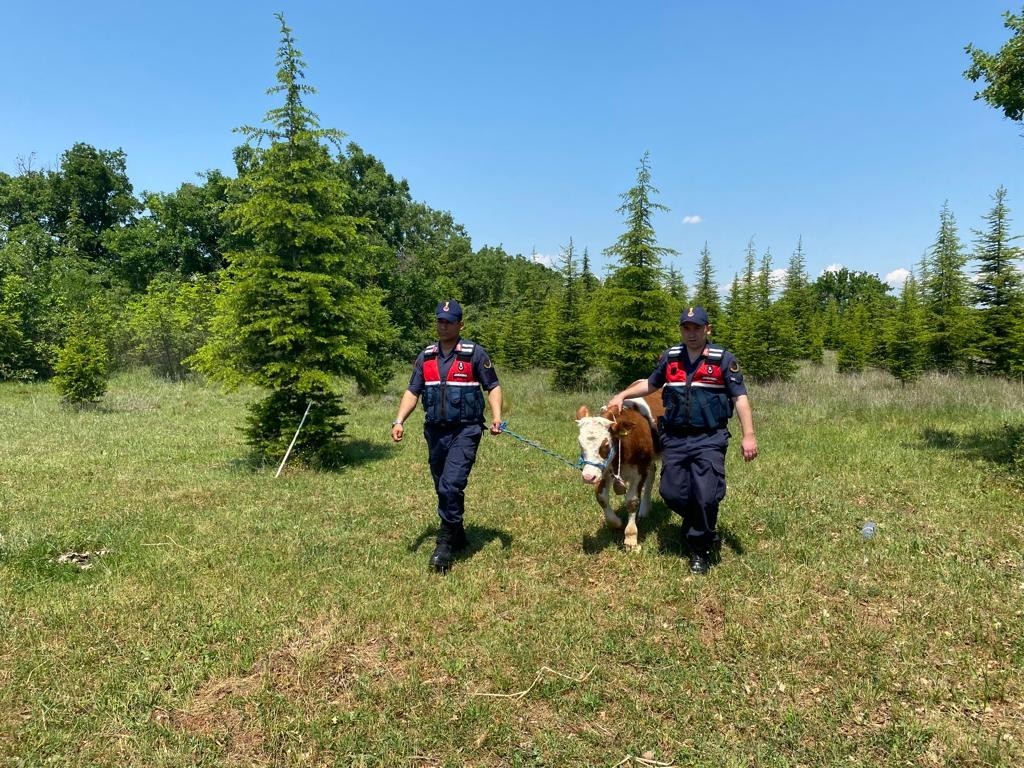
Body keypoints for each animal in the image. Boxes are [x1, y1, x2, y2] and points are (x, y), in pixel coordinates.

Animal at [577, 391, 663, 552]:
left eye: (605, 445)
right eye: (580, 444)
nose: (588, 477)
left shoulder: (640, 469)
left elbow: (632, 501)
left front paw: (631, 539)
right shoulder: (605, 470)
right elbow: (601, 497)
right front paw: (616, 522)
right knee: (652, 474)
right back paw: (645, 510)